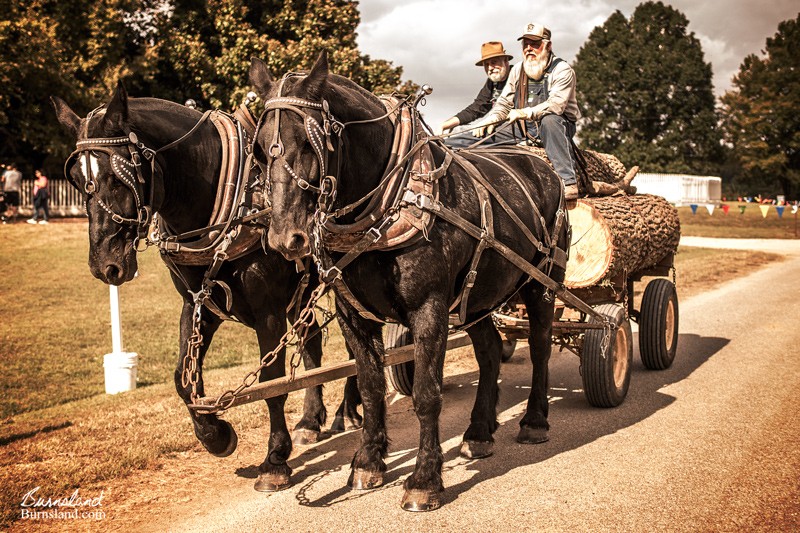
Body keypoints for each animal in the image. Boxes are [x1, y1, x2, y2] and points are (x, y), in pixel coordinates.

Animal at [51, 86, 360, 490]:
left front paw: (275, 459)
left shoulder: (268, 312)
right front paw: (215, 434)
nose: (105, 265)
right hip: (304, 292)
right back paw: (311, 419)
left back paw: (350, 410)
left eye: (120, 176)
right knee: (312, 345)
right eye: (75, 178)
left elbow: (271, 383)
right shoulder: (197, 306)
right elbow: (184, 379)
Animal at [250, 52, 568, 510]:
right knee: (490, 350)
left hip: (542, 283)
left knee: (541, 346)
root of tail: (542, 164)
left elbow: (426, 394)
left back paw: (535, 420)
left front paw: (424, 479)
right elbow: (370, 387)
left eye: (310, 143)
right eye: (259, 150)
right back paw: (479, 430)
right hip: (477, 296)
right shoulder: (353, 314)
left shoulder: (429, 308)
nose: (284, 238)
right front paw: (367, 462)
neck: (388, 205)